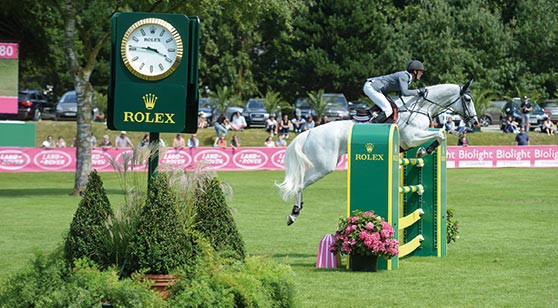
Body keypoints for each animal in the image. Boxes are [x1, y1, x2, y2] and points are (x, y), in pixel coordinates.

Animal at [278, 79, 480, 225]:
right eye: (468, 100)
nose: (476, 123)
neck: (421, 108)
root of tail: (309, 131)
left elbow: (440, 134)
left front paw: (423, 151)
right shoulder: (411, 137)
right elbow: (440, 134)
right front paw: (424, 150)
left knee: (300, 182)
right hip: (323, 166)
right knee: (299, 184)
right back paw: (294, 214)